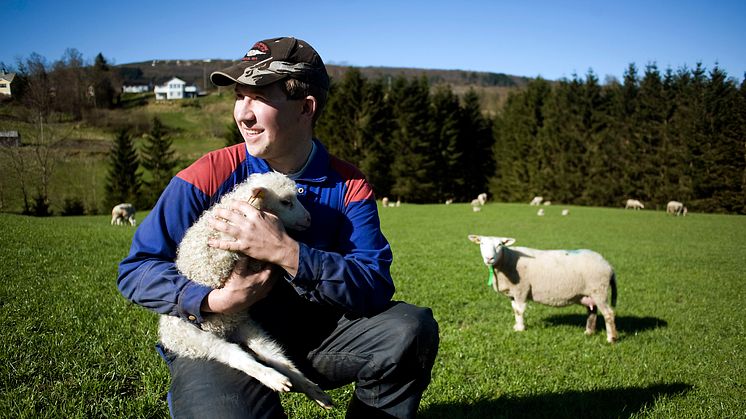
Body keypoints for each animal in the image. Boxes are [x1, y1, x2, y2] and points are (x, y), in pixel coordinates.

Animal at [161, 171, 332, 410]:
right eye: (285, 202)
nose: (308, 219)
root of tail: (223, 329)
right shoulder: (222, 255)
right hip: (195, 336)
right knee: (235, 355)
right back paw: (274, 379)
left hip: (244, 324)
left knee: (273, 353)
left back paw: (309, 389)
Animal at [464, 235, 616, 342]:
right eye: (482, 243)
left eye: (500, 244)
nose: (489, 258)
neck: (507, 260)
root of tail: (608, 265)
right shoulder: (513, 293)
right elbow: (514, 310)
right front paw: (516, 326)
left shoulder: (521, 289)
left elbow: (519, 311)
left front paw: (520, 329)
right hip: (590, 293)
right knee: (592, 312)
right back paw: (589, 332)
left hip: (599, 290)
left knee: (608, 314)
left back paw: (611, 338)